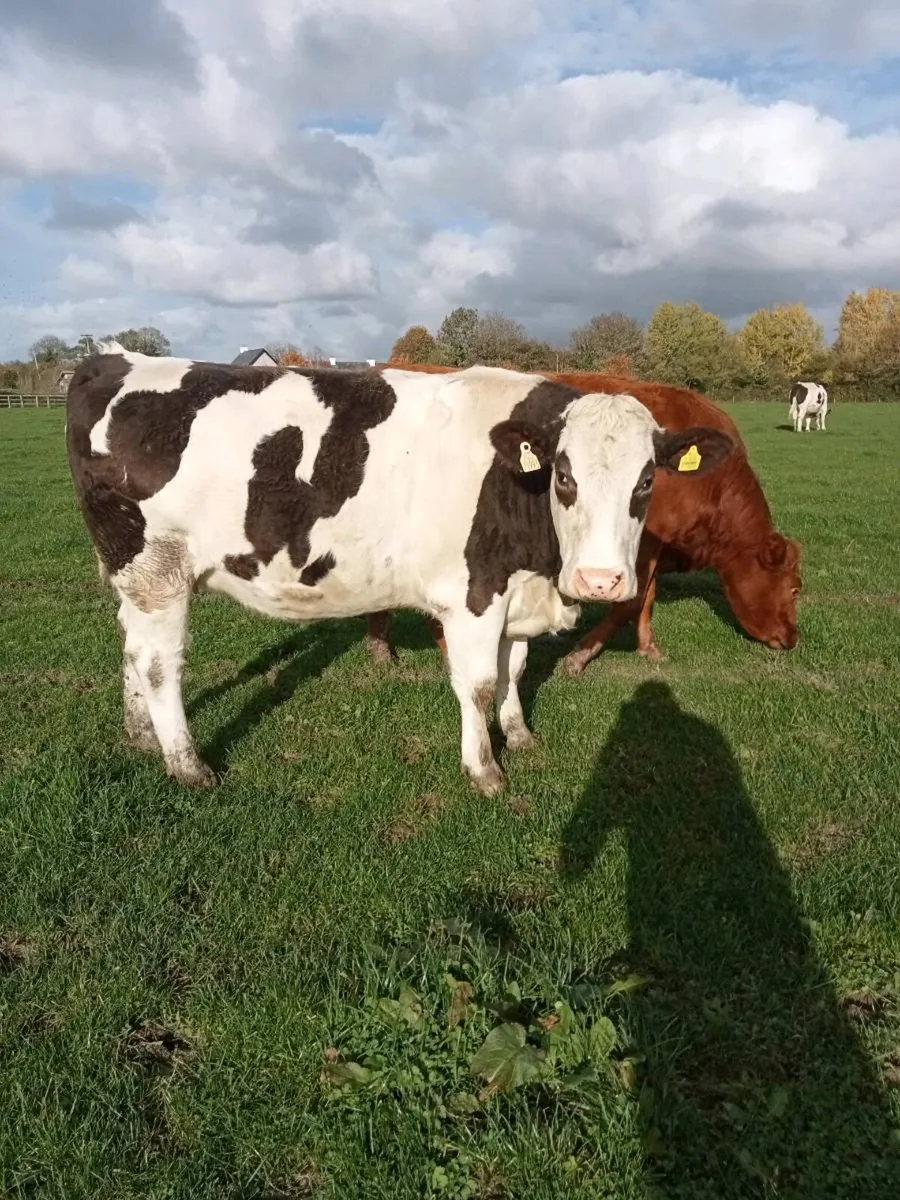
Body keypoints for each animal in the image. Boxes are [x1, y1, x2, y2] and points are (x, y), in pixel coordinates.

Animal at [65, 346, 733, 795]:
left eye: (646, 481)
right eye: (564, 476)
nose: (601, 581)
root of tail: (115, 360)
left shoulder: (516, 591)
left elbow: (514, 668)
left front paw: (519, 735)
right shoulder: (473, 595)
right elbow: (478, 683)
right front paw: (484, 768)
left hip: (137, 577)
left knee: (131, 649)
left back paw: (141, 737)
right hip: (158, 568)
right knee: (158, 665)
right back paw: (187, 763)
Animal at [365, 366, 801, 676]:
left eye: (647, 480)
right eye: (795, 589)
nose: (791, 639)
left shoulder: (650, 543)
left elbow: (646, 597)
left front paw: (648, 647)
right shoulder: (642, 546)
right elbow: (630, 601)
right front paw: (580, 656)